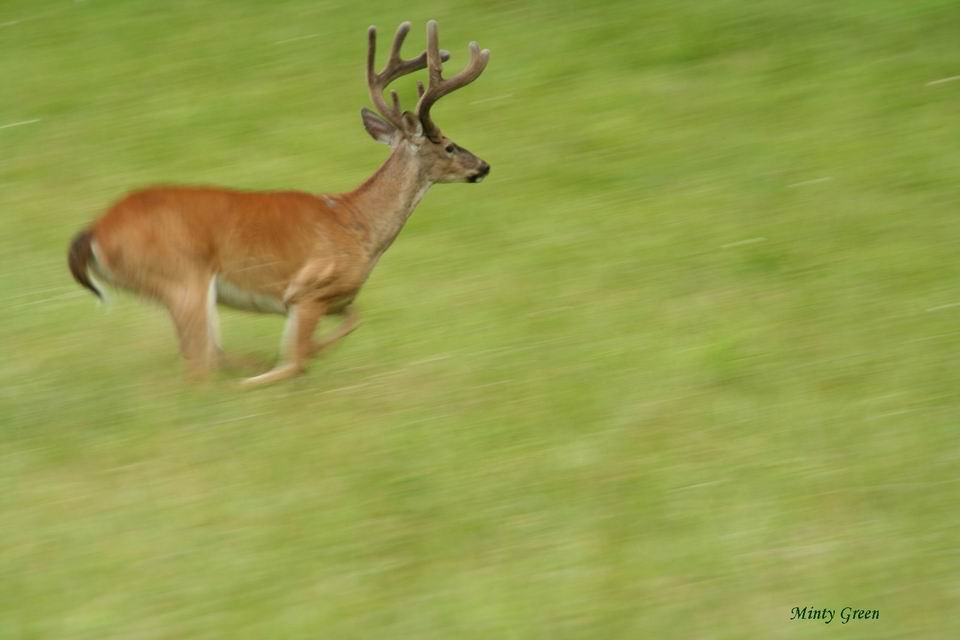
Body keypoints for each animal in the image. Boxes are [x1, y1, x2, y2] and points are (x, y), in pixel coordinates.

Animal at [67, 20, 491, 386]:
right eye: (449, 145)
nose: (484, 165)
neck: (359, 225)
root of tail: (94, 231)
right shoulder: (308, 289)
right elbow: (297, 357)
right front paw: (280, 366)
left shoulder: (337, 297)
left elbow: (352, 318)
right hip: (181, 277)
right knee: (201, 367)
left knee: (206, 358)